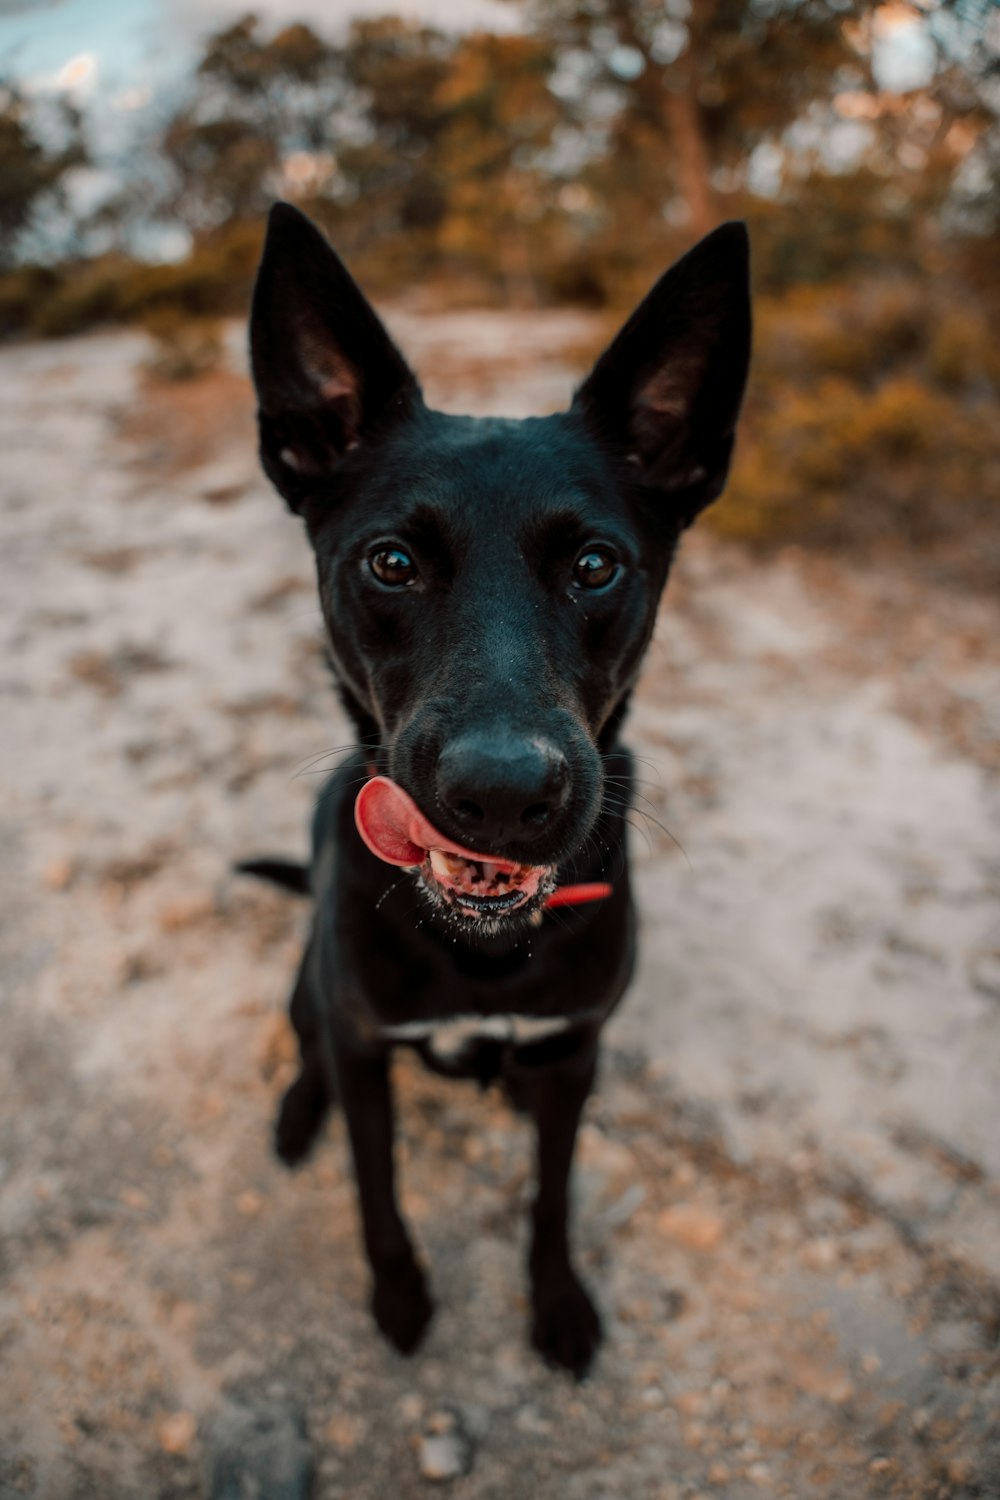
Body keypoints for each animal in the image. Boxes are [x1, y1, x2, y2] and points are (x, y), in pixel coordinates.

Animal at [245, 205, 749, 1374]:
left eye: (596, 566)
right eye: (390, 563)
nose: (505, 794)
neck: (478, 946)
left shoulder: (573, 1055)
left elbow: (551, 1196)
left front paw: (557, 1302)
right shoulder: (367, 1051)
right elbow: (376, 1191)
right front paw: (399, 1297)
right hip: (309, 990)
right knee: (306, 1044)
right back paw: (297, 1112)